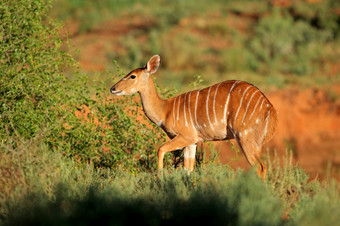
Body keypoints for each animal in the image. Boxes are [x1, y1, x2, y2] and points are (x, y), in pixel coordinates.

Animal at [110, 55, 278, 178]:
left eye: (132, 76)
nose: (113, 88)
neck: (165, 110)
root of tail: (270, 109)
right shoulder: (193, 142)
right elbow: (188, 170)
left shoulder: (185, 136)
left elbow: (161, 150)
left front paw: (160, 178)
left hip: (245, 138)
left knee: (260, 168)